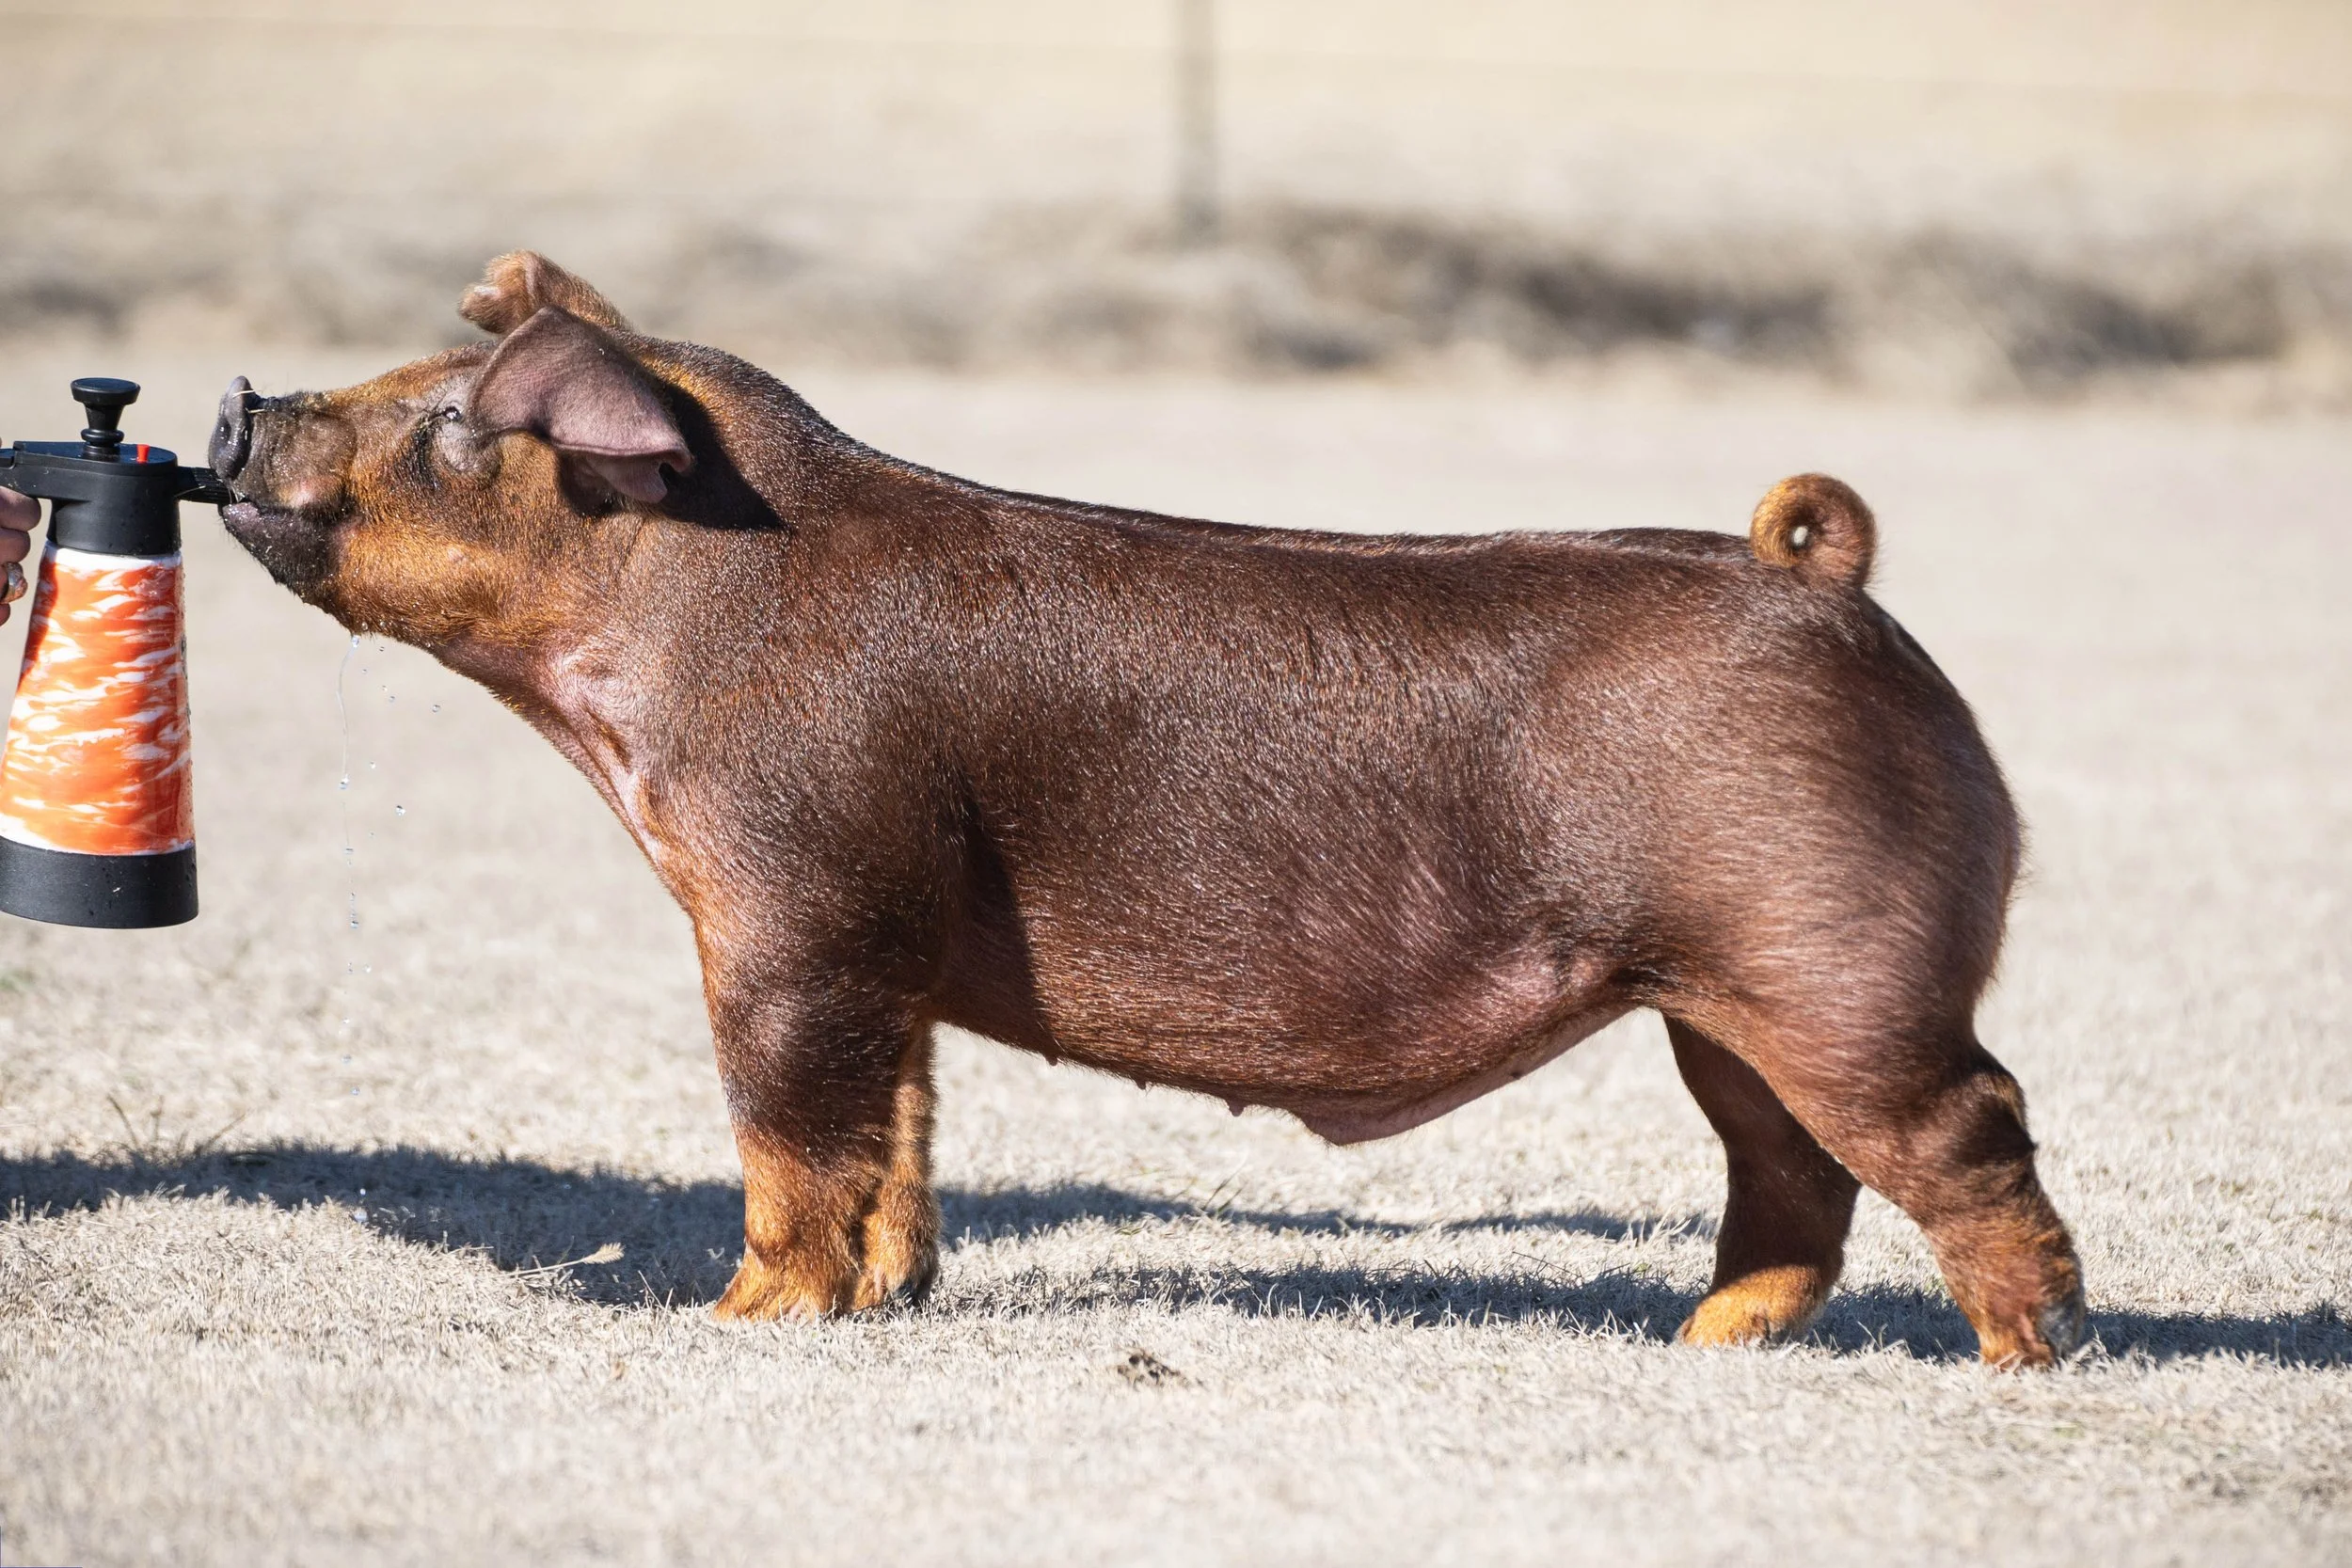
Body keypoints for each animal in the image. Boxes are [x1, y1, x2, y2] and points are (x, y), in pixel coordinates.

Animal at [211, 252, 2085, 1365]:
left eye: (450, 421)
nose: (235, 398)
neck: (675, 619)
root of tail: (1818, 578)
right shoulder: (887, 934)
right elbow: (901, 1127)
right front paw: (884, 1300)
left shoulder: (793, 899)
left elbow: (786, 1126)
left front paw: (741, 1317)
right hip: (1725, 999)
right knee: (1793, 1169)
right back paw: (1708, 1343)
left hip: (1835, 962)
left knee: (1969, 1123)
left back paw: (2026, 1354)